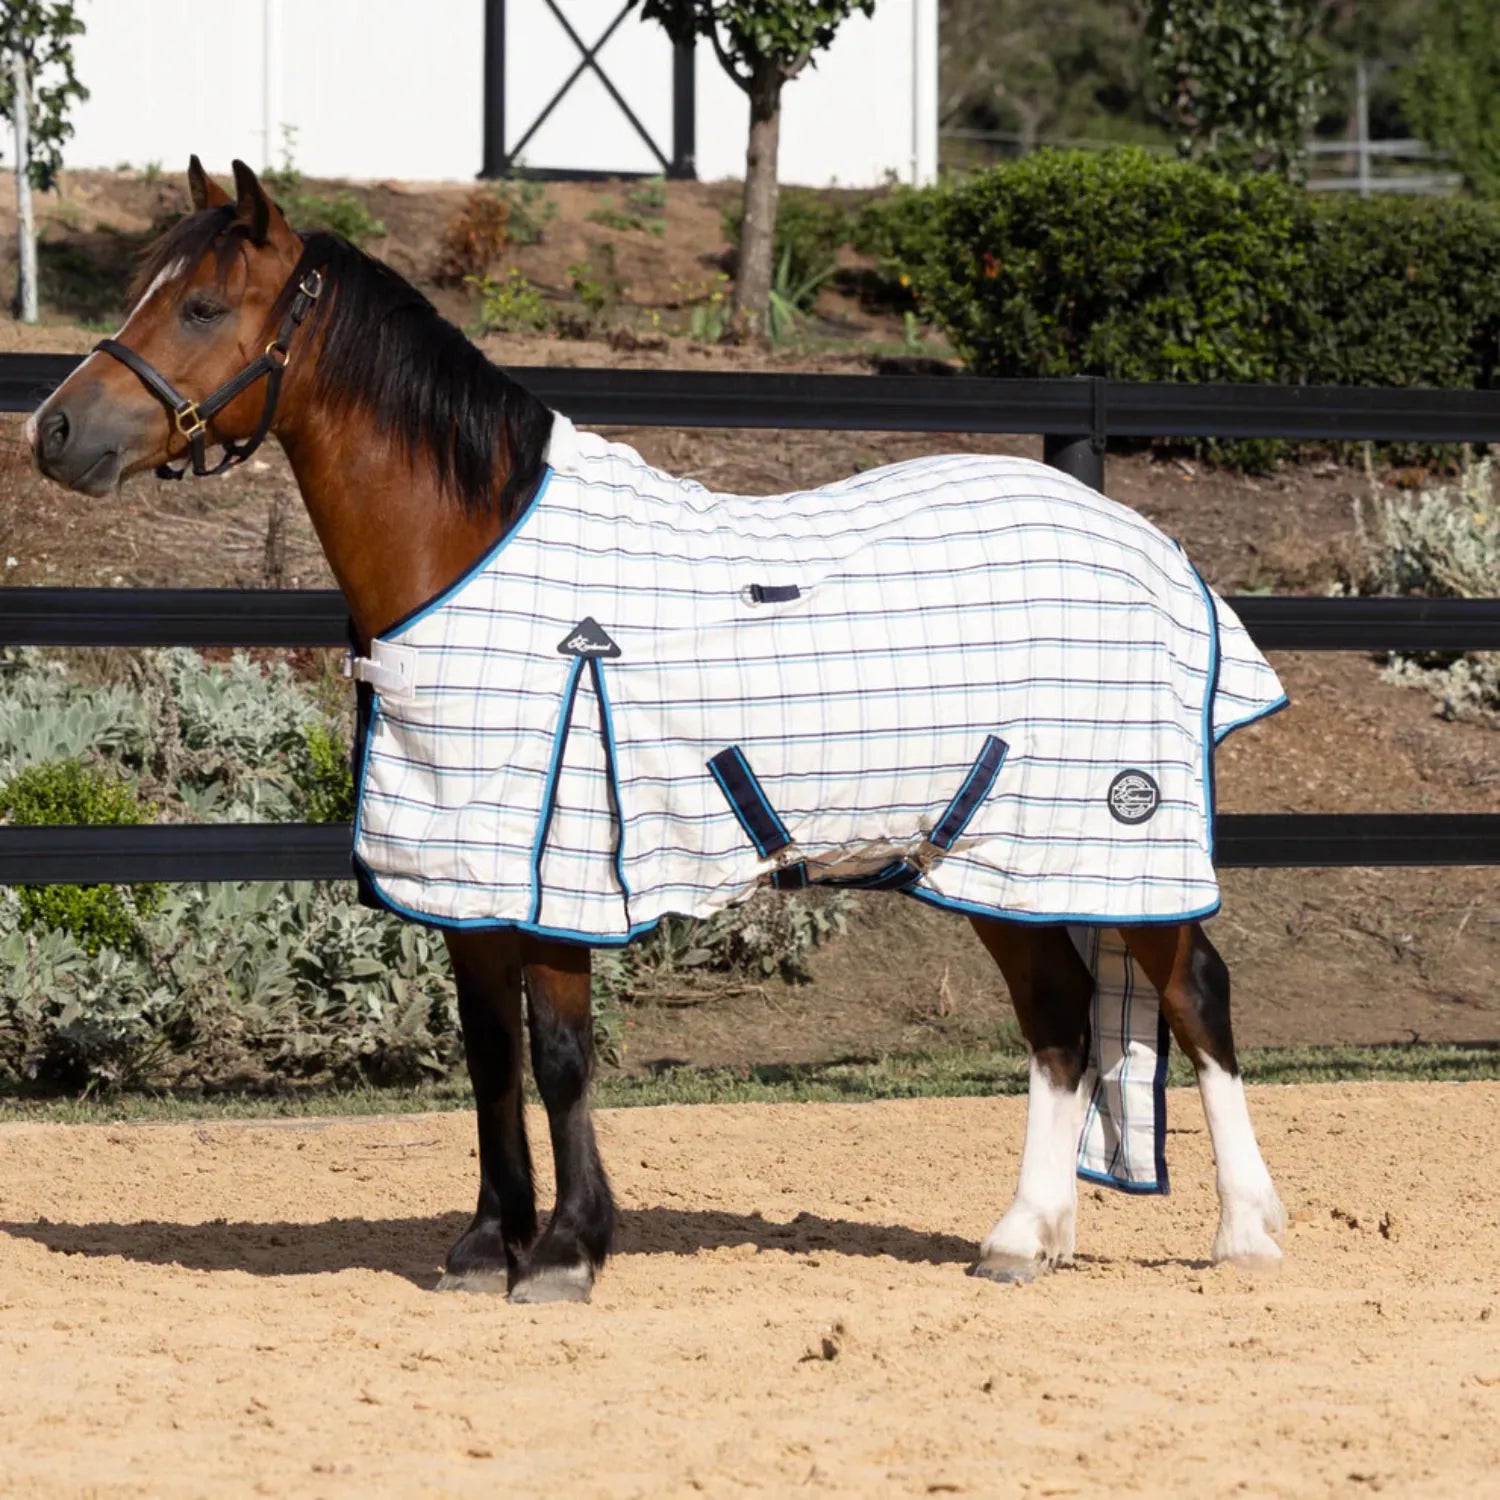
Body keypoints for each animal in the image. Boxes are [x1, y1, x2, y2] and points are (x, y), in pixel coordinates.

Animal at [27, 159, 1287, 1303]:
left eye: (203, 305)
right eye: (145, 288)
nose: (55, 430)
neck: (472, 549)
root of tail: (1150, 544)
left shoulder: (558, 875)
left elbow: (559, 1055)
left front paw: (566, 1253)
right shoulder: (464, 876)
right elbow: (488, 1058)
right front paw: (486, 1247)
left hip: (1116, 834)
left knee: (1196, 994)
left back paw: (1243, 1233)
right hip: (993, 853)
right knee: (1062, 1020)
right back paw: (1025, 1239)